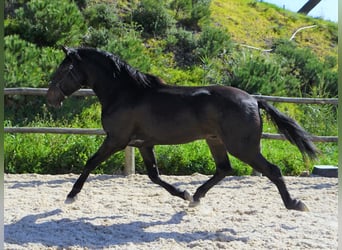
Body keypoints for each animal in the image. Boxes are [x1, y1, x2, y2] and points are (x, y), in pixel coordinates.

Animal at [46, 46, 316, 211]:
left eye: (63, 69)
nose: (51, 99)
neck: (124, 93)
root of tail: (254, 99)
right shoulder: (143, 144)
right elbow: (154, 176)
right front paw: (183, 193)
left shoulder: (116, 140)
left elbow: (90, 162)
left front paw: (71, 195)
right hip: (215, 140)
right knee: (224, 169)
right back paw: (195, 197)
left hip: (243, 147)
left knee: (272, 170)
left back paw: (295, 204)